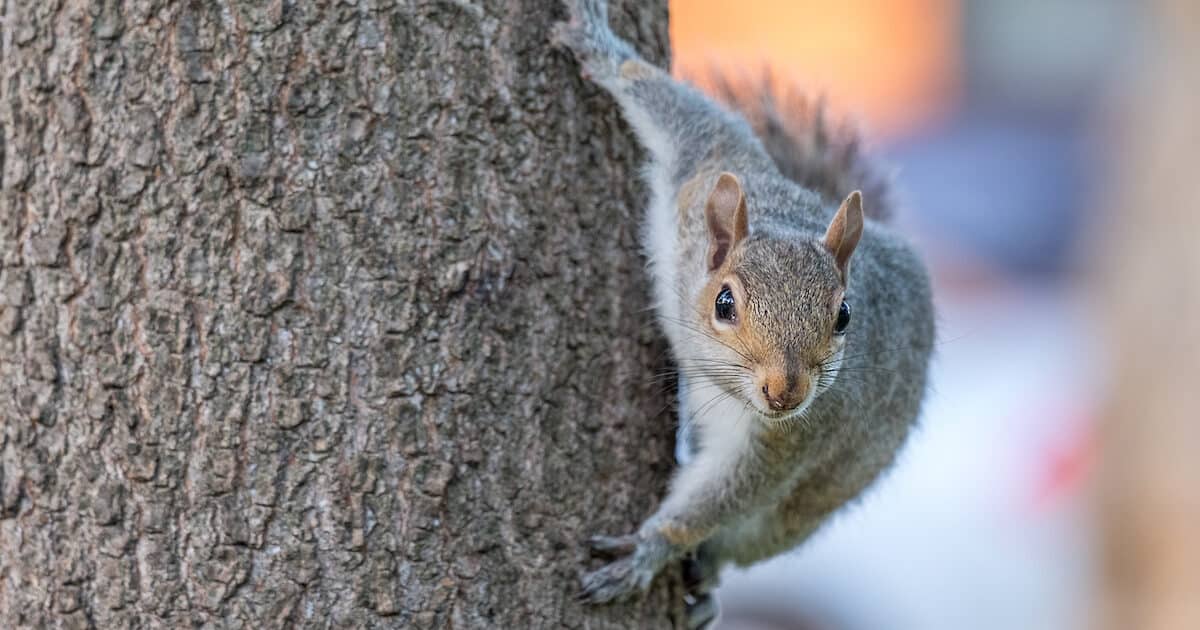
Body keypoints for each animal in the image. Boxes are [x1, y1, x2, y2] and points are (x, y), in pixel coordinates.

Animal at [552, 0, 936, 624]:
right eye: (724, 303)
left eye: (845, 316)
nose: (785, 393)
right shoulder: (705, 168)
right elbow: (679, 109)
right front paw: (600, 48)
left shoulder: (795, 436)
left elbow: (726, 494)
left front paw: (650, 549)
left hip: (799, 514)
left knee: (741, 539)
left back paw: (704, 582)